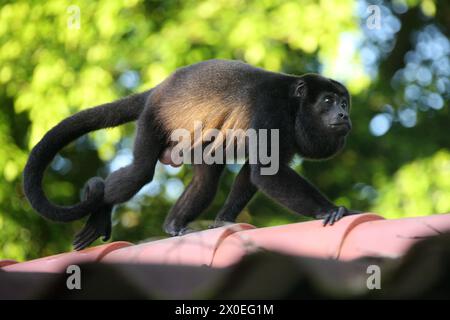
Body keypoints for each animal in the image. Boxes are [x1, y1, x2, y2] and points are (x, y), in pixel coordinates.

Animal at [22, 60, 360, 250]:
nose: (344, 114)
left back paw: (174, 224)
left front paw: (224, 220)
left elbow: (254, 171)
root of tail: (157, 90)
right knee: (140, 172)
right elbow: (267, 171)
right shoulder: (270, 109)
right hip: (153, 120)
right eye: (328, 101)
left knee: (206, 178)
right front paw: (330, 210)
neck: (293, 104)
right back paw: (102, 208)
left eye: (344, 102)